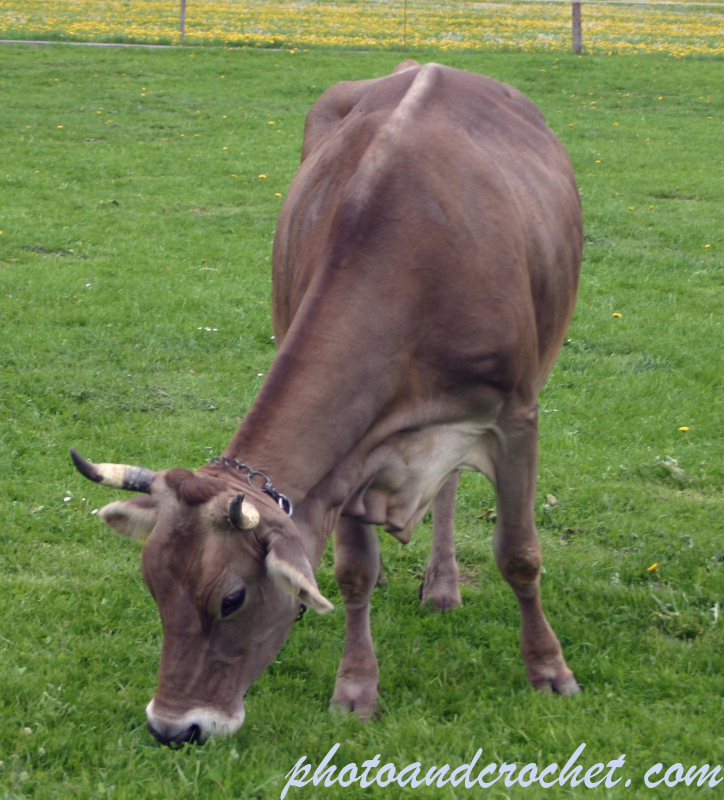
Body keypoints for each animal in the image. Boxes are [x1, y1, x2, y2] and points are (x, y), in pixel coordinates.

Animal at [71, 59, 582, 745]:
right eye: (153, 587)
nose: (173, 728)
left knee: (451, 487)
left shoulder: (516, 414)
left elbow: (520, 554)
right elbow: (351, 571)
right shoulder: (352, 454)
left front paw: (548, 671)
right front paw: (357, 688)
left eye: (231, 598)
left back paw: (443, 586)